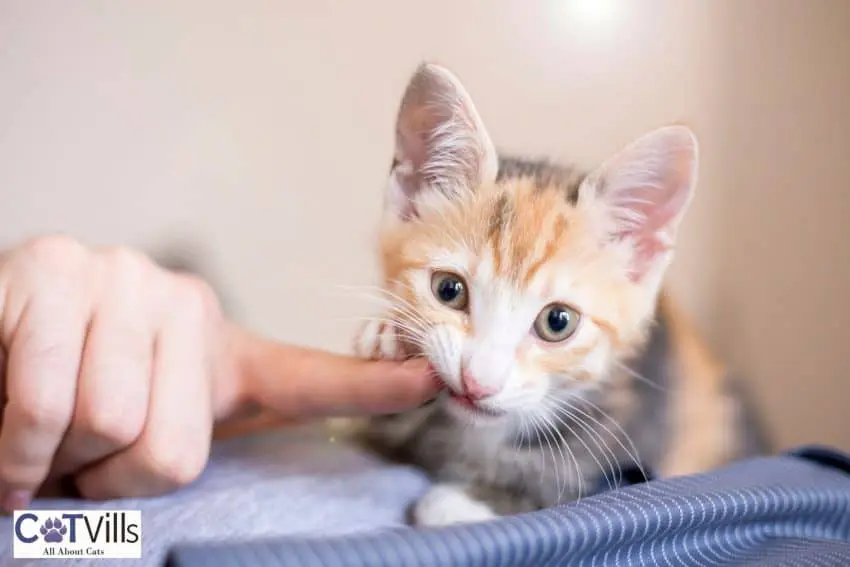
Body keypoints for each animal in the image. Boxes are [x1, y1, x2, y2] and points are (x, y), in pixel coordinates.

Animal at [350, 62, 760, 528]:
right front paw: (384, 333)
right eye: (448, 290)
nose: (476, 383)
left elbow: (559, 490)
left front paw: (457, 503)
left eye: (557, 321)